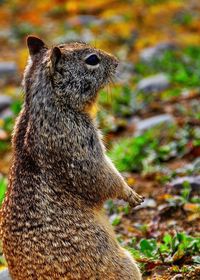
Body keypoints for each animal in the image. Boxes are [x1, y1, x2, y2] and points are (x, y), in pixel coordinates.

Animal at [0, 36, 144, 278]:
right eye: (92, 60)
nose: (116, 62)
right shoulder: (78, 144)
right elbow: (100, 176)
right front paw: (130, 194)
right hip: (125, 264)